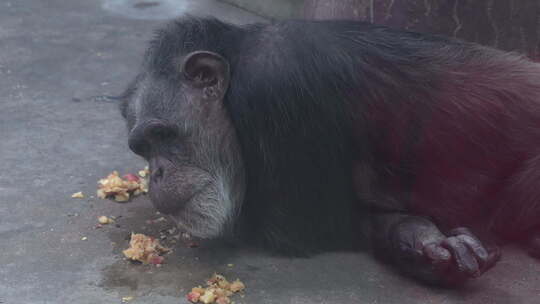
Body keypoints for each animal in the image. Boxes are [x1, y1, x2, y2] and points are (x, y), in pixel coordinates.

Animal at [120, 16, 540, 284]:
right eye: (142, 148)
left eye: (162, 135)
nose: (156, 173)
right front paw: (425, 244)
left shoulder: (275, 84)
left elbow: (302, 228)